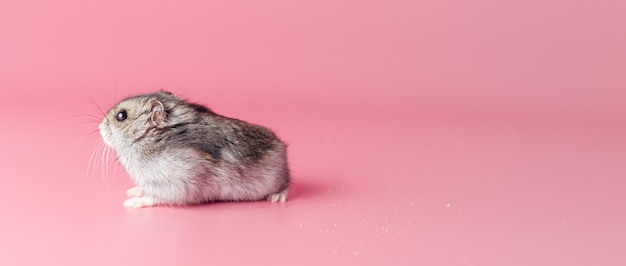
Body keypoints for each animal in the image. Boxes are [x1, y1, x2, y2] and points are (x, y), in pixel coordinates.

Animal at [98, 91, 290, 208]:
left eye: (121, 115)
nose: (99, 127)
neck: (151, 138)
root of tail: (282, 146)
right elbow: (145, 188)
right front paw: (133, 190)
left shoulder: (176, 184)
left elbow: (153, 196)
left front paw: (131, 203)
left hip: (277, 177)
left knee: (285, 185)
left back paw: (276, 197)